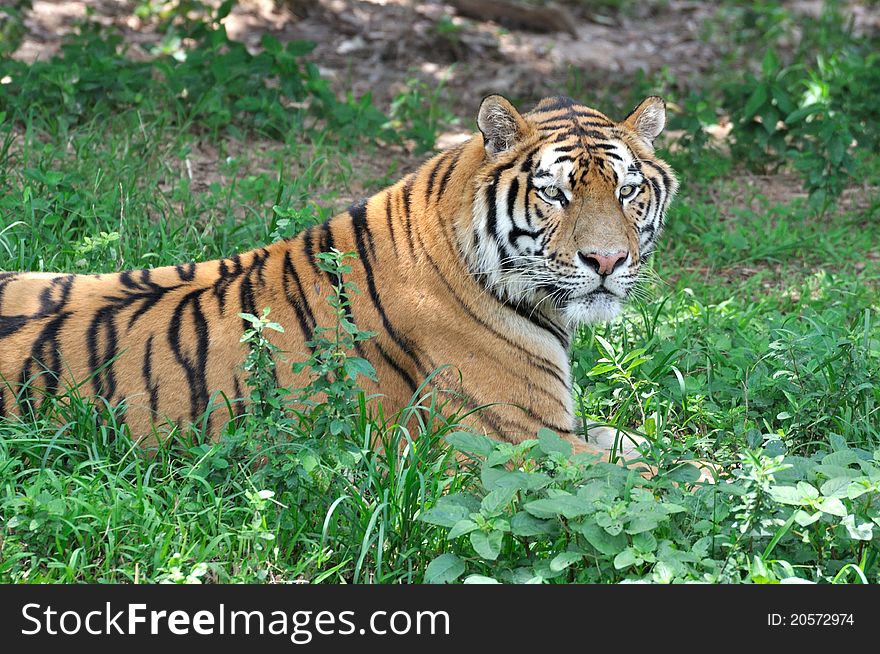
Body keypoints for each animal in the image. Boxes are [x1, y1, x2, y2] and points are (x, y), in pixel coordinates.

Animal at [0, 95, 676, 468]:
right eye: (555, 194)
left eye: (628, 190)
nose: (607, 261)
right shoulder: (519, 442)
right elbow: (663, 479)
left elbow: (640, 442)